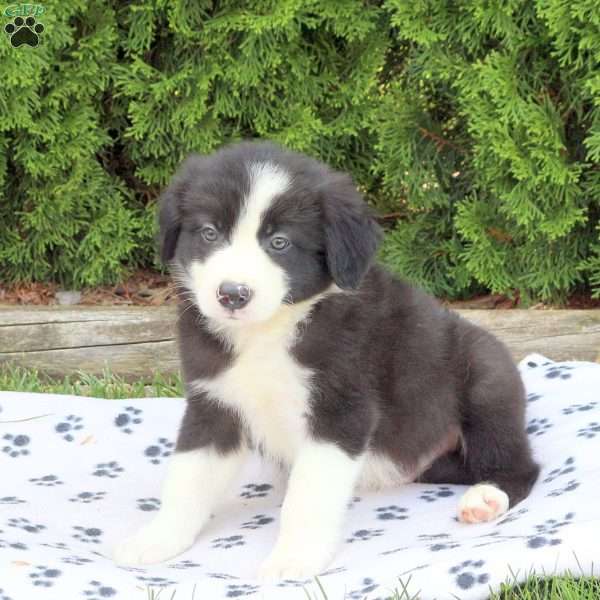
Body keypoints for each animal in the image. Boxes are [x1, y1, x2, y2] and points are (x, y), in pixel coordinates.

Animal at [112, 141, 540, 580]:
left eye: (279, 242)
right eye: (209, 233)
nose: (232, 294)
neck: (269, 331)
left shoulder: (339, 410)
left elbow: (308, 496)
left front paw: (293, 559)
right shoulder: (214, 402)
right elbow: (188, 477)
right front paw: (156, 540)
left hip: (487, 381)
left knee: (518, 465)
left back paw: (486, 498)